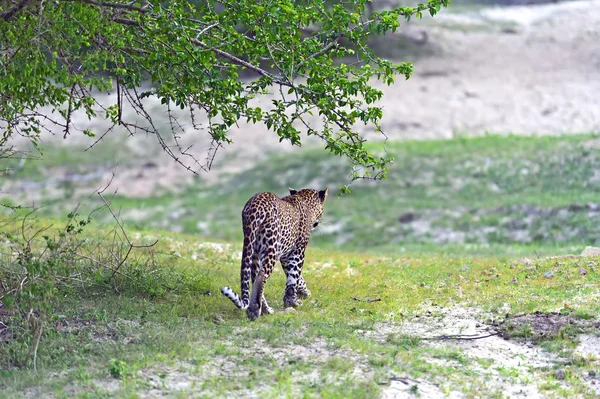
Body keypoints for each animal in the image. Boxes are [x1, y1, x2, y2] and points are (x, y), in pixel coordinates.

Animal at [221, 188, 328, 322]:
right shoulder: (298, 251)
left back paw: (264, 309)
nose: (316, 224)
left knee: (254, 277)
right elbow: (294, 275)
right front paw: (293, 302)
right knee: (262, 275)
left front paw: (303, 292)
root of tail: (255, 206)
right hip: (270, 247)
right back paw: (255, 310)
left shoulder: (286, 255)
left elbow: (296, 277)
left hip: (254, 250)